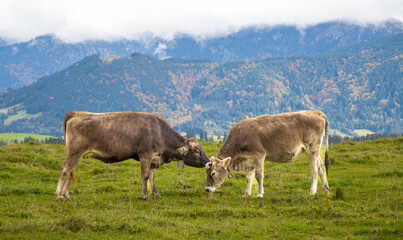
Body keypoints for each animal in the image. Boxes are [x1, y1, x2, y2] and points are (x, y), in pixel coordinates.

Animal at [56, 111, 211, 202]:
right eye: (196, 150)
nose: (209, 163)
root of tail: (76, 114)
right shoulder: (145, 155)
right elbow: (145, 176)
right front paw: (145, 196)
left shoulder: (153, 158)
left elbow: (152, 176)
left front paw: (155, 193)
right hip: (74, 151)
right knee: (65, 169)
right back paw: (59, 195)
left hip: (77, 155)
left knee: (71, 171)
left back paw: (67, 196)